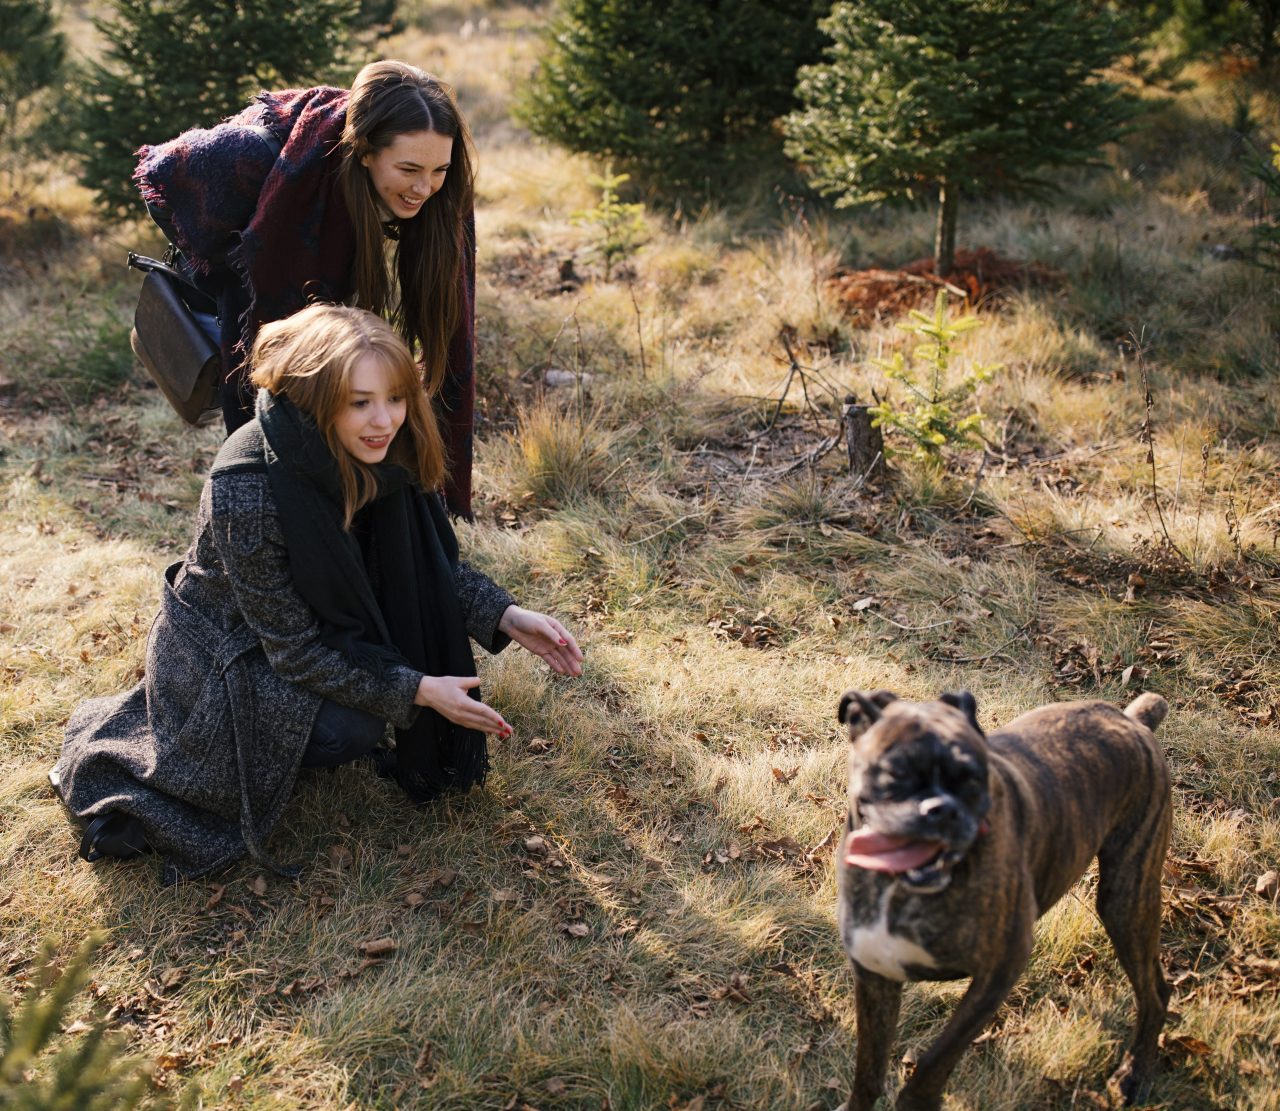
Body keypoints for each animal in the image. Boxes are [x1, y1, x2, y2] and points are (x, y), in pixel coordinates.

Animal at [834, 691, 1172, 1105]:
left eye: (974, 779)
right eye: (896, 773)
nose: (942, 809)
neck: (900, 891)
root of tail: (1132, 720)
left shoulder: (997, 976)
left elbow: (933, 1064)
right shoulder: (875, 977)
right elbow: (868, 1069)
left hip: (1125, 902)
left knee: (1155, 994)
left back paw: (1134, 1072)